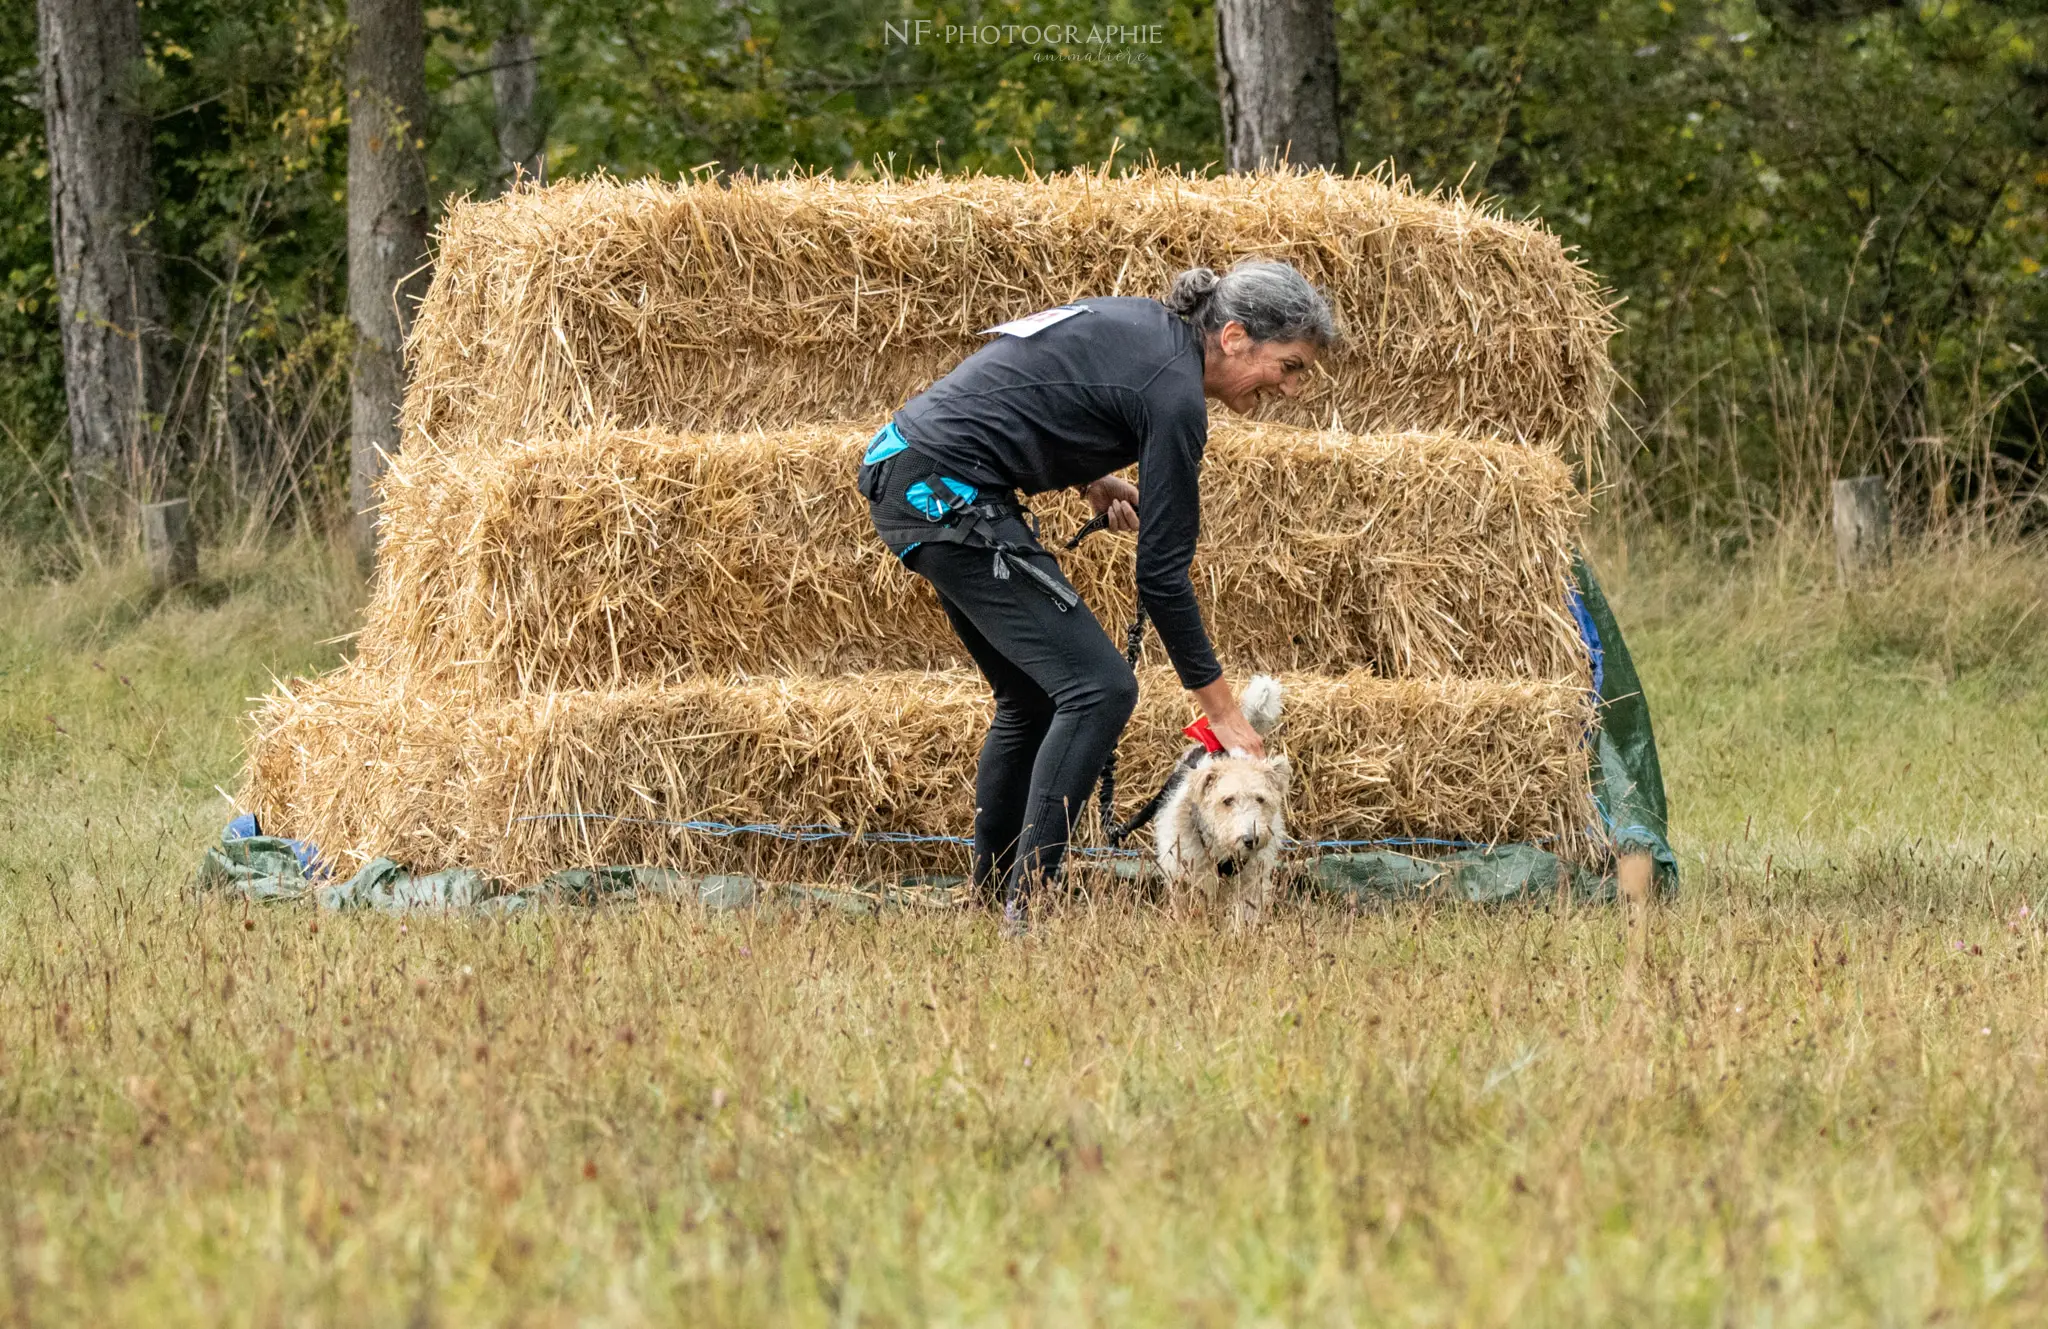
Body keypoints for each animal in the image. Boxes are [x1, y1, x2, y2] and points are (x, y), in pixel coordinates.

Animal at [1163, 675, 1286, 921]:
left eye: (1260, 799)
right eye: (1227, 800)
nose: (1251, 839)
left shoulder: (1251, 880)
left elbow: (1247, 913)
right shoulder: (1186, 874)